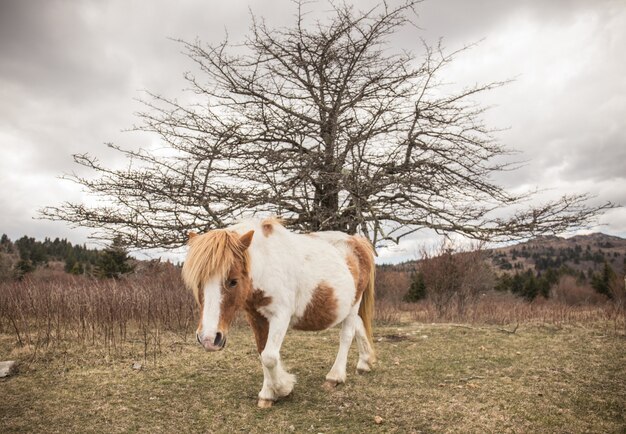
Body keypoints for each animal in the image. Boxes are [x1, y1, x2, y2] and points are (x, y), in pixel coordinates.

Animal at [180, 219, 376, 408]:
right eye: (199, 283)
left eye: (233, 281)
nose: (208, 339)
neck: (266, 266)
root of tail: (357, 241)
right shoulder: (256, 317)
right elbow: (262, 352)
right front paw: (269, 394)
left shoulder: (280, 316)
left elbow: (269, 357)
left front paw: (283, 389)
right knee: (359, 325)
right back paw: (365, 363)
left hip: (354, 304)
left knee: (347, 335)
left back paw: (335, 376)